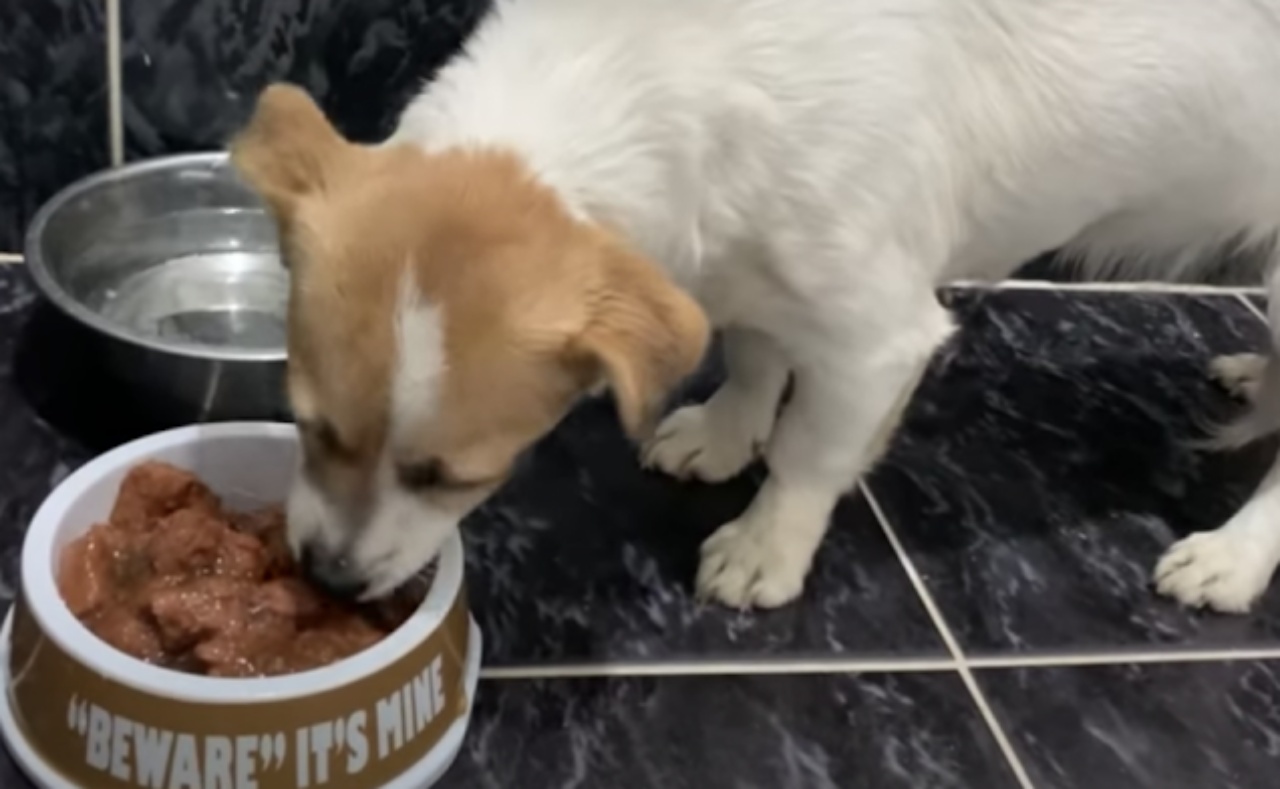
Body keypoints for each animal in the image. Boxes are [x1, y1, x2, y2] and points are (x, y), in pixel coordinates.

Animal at [235, 0, 1280, 609]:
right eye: (306, 426)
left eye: (454, 476)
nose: (325, 580)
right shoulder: (747, 267)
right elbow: (751, 354)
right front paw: (726, 432)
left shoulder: (878, 337)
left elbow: (810, 452)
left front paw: (766, 544)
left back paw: (1234, 557)